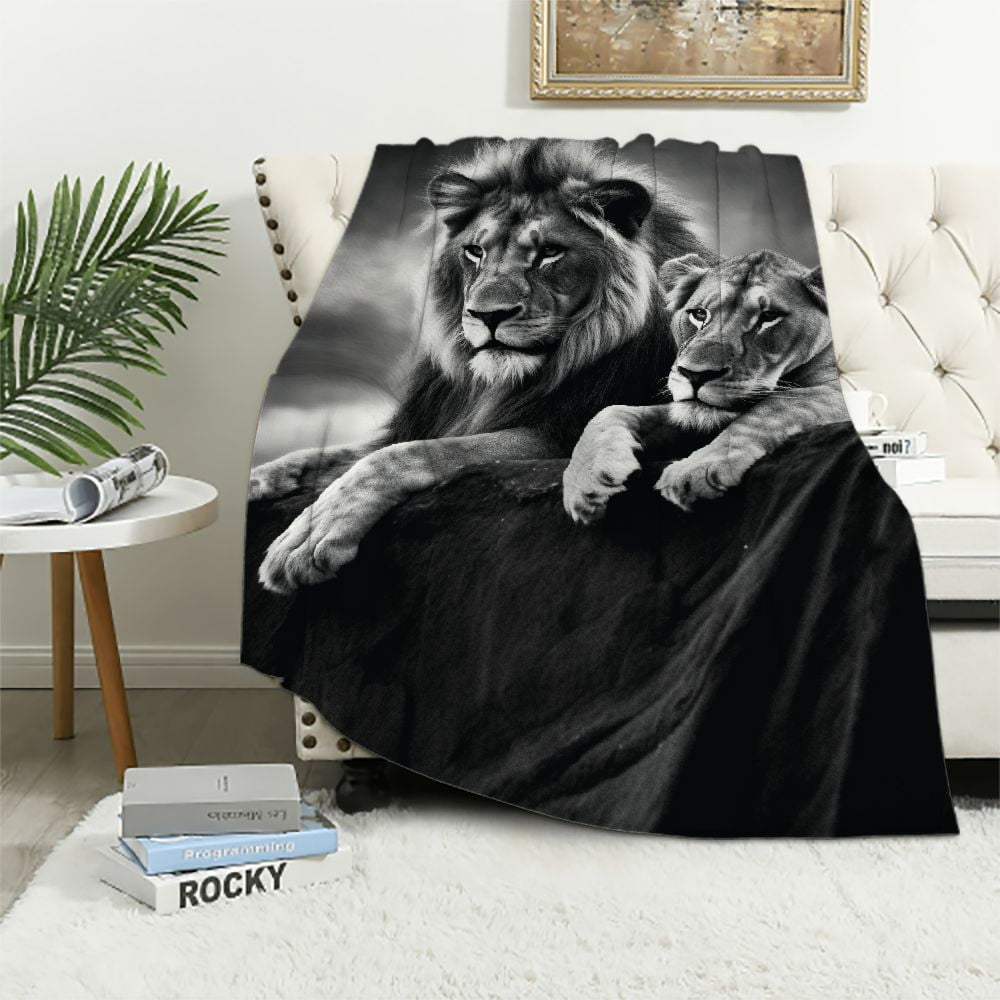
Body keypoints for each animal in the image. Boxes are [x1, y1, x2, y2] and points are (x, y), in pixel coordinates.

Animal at [251, 138, 707, 593]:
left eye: (549, 253)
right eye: (475, 251)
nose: (488, 315)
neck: (498, 384)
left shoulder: (554, 437)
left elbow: (405, 455)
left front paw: (309, 538)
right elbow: (329, 454)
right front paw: (258, 479)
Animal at [563, 249, 850, 523]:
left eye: (769, 317)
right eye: (699, 314)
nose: (695, 375)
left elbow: (774, 406)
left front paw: (696, 469)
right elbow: (611, 411)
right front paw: (585, 479)